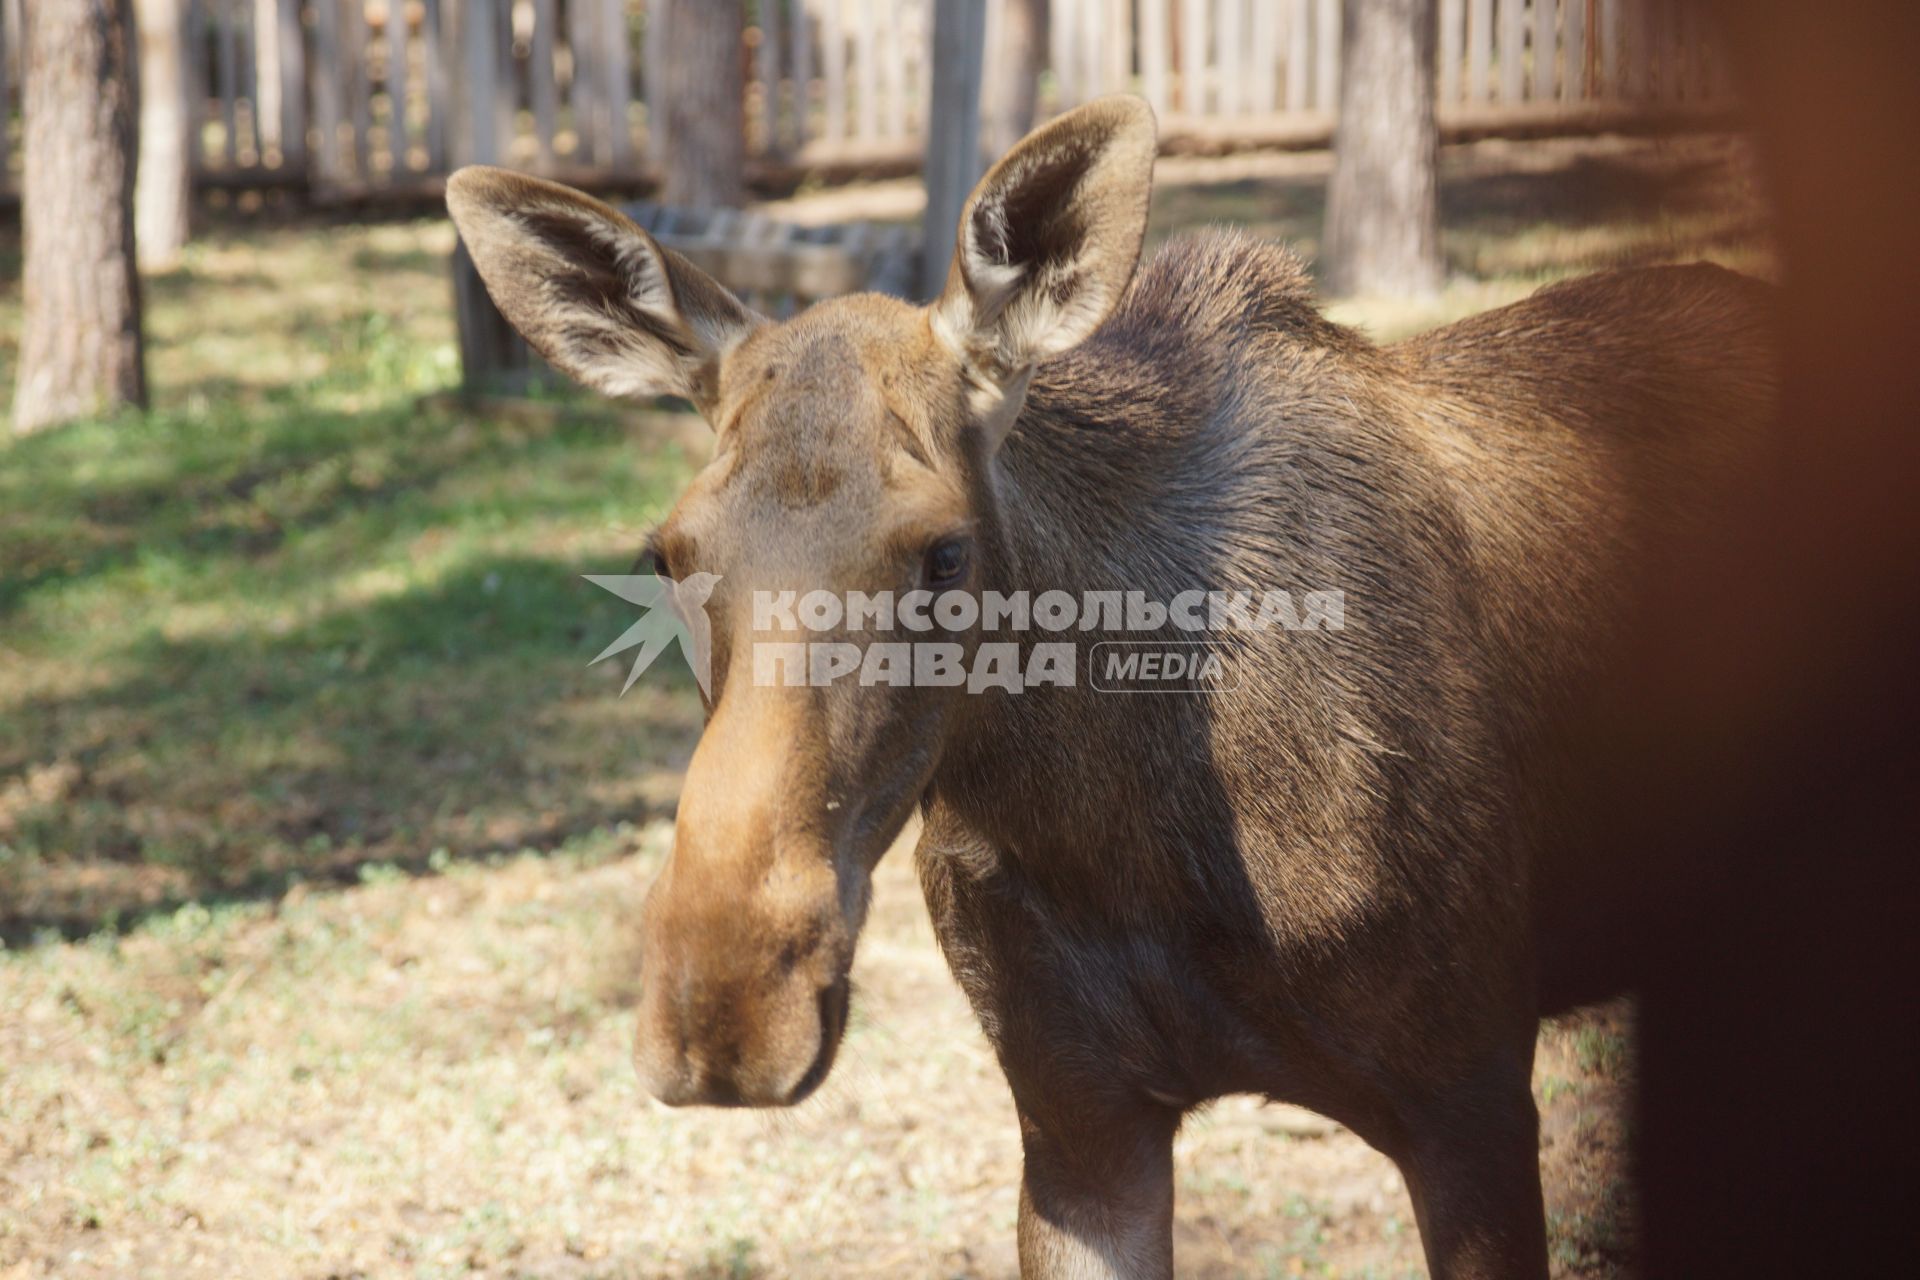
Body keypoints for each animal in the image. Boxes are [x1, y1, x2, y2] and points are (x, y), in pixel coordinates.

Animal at [445, 94, 1766, 1274]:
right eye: (665, 554)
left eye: (944, 550)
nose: (724, 1004)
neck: (1131, 835)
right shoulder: (1078, 1119)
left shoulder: (1472, 1092)